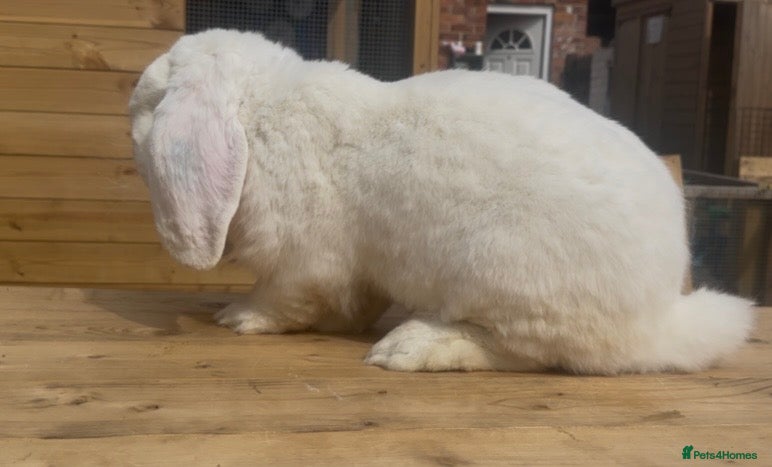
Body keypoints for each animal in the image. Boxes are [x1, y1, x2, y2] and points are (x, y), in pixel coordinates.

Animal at [129, 29, 754, 374]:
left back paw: (413, 347)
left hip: (504, 275)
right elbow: (350, 303)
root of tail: (659, 316)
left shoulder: (301, 262)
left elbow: (287, 300)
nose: (131, 113)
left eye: (151, 96)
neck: (258, 113)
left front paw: (239, 317)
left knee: (525, 353)